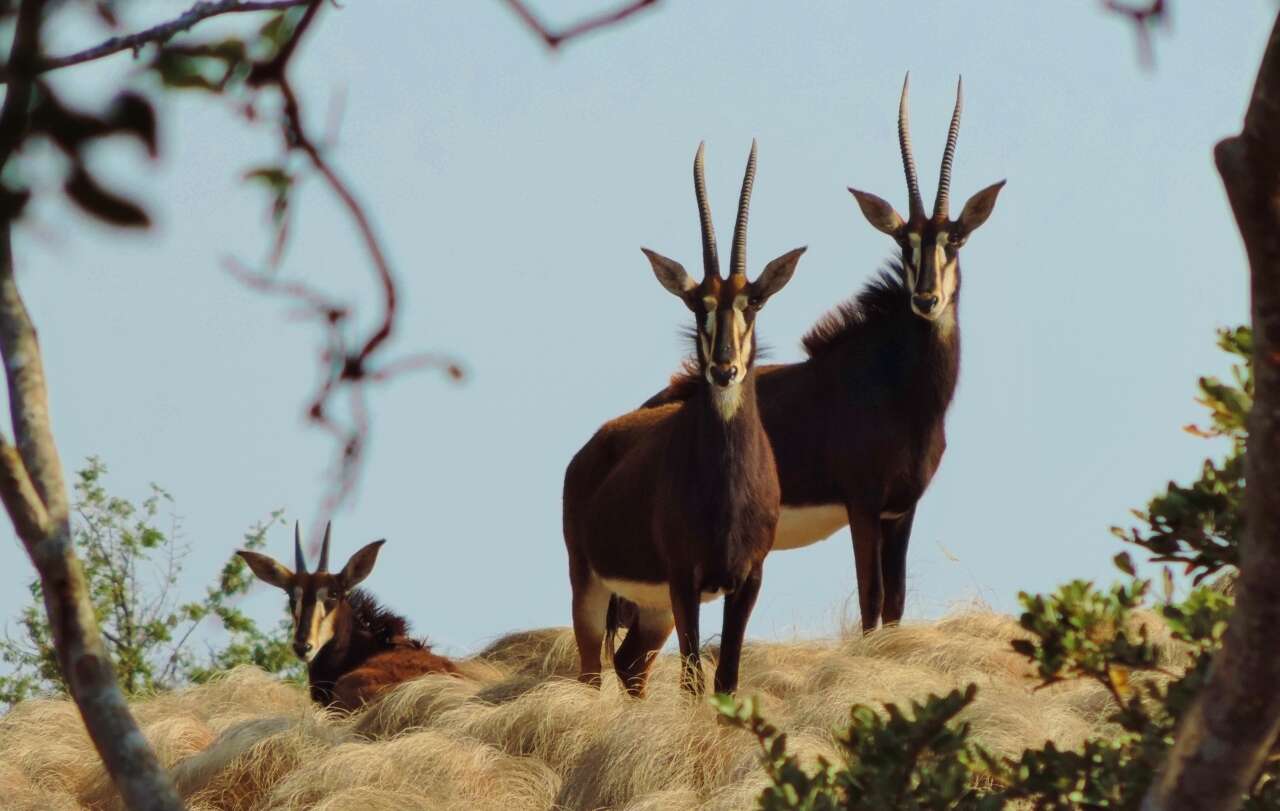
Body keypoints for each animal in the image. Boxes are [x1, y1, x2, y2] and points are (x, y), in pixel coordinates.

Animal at [563, 140, 803, 695]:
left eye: (753, 302)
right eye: (699, 305)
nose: (723, 369)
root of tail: (590, 450)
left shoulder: (747, 580)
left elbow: (726, 678)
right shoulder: (684, 577)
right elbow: (694, 678)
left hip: (653, 609)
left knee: (630, 664)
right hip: (591, 585)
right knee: (591, 673)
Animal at [645, 75, 1003, 631]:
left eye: (956, 239)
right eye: (904, 243)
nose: (926, 299)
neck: (901, 389)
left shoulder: (902, 510)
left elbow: (895, 604)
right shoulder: (863, 504)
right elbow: (872, 600)